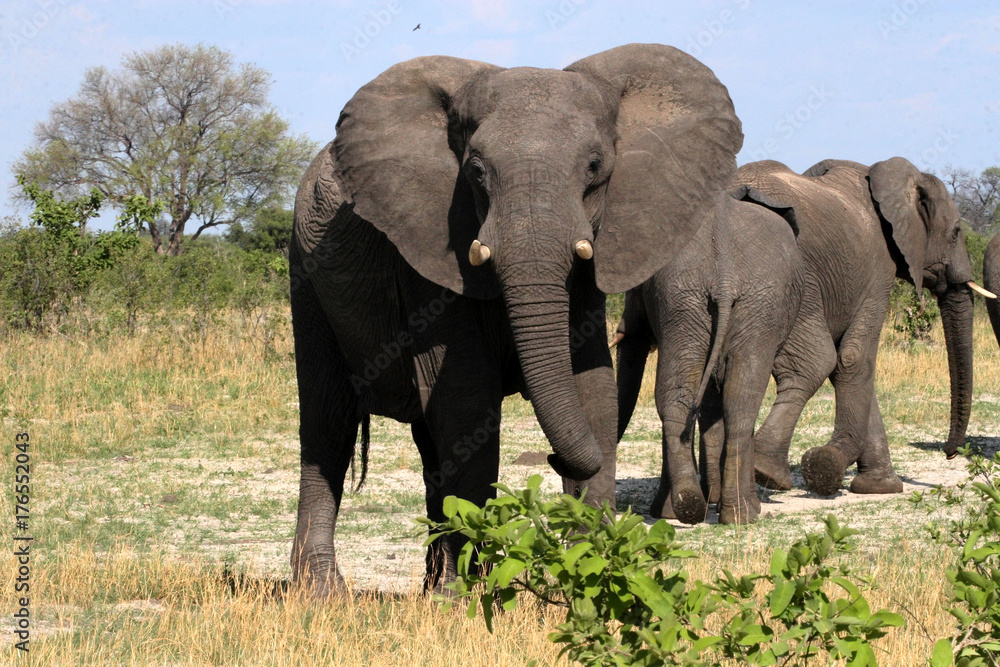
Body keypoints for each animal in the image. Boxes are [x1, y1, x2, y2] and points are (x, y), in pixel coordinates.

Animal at [288, 44, 743, 595]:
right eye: (476, 172)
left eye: (595, 167)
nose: (552, 459)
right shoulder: (429, 248)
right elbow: (467, 396)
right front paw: (470, 593)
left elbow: (592, 390)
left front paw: (590, 573)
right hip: (306, 271)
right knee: (327, 425)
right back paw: (323, 593)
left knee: (425, 443)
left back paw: (428, 584)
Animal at [615, 185, 803, 525]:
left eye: (636, 291)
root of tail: (724, 277)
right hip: (705, 301)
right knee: (737, 402)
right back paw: (736, 514)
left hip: (696, 301)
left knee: (688, 397)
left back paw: (692, 508)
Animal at [734, 158, 993, 497]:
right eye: (956, 232)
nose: (950, 453)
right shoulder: (879, 266)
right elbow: (854, 358)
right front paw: (828, 465)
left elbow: (853, 369)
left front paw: (878, 487)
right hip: (792, 274)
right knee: (815, 361)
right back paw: (767, 472)